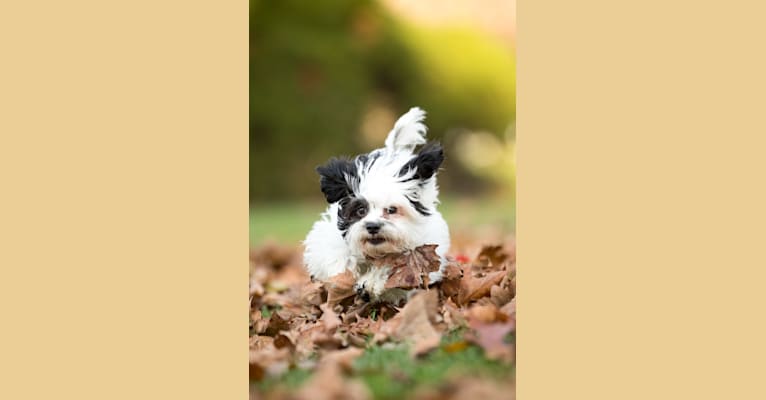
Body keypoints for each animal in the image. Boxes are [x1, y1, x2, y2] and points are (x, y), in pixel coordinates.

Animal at [304, 107, 452, 304]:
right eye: (360, 210)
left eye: (392, 210)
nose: (372, 226)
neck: (375, 252)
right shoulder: (328, 242)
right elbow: (339, 261)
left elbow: (394, 271)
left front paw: (370, 283)